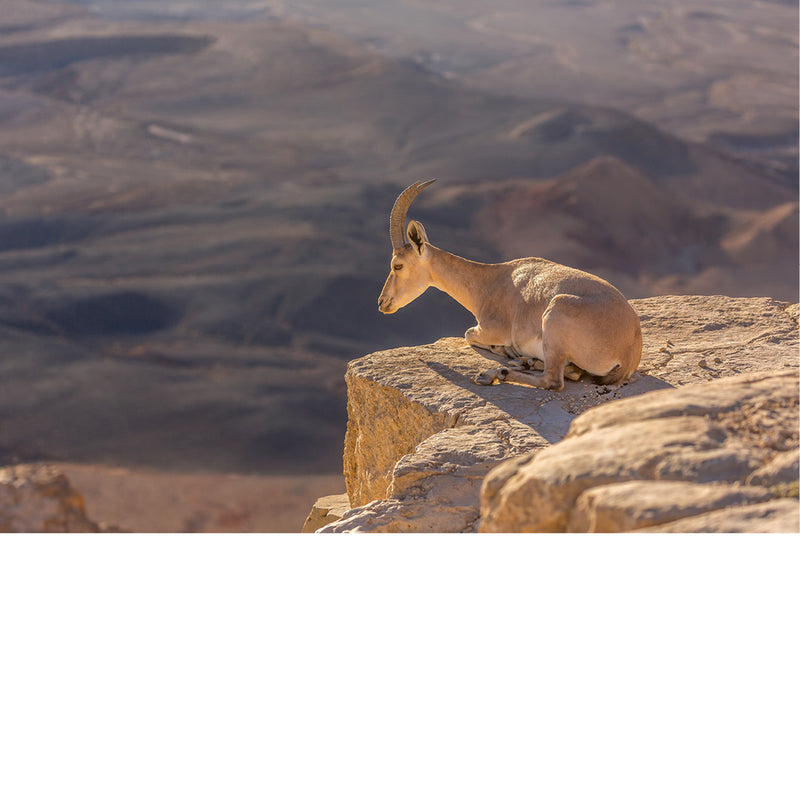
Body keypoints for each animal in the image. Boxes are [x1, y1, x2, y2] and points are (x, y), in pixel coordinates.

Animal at [378, 179, 642, 390]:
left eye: (397, 265)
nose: (382, 302)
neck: (489, 283)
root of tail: (629, 348)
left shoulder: (491, 328)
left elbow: (468, 334)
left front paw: (506, 352)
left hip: (555, 315)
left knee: (554, 381)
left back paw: (496, 373)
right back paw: (526, 361)